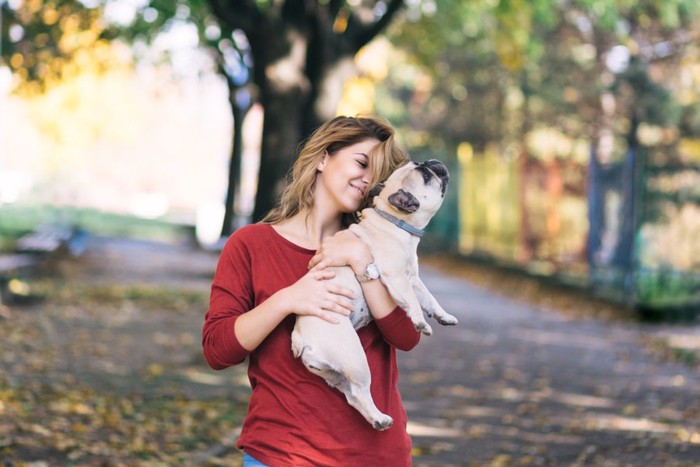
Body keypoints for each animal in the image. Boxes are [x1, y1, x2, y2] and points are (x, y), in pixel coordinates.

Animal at [292, 159, 460, 430]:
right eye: (425, 175)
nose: (431, 162)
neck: (393, 221)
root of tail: (298, 336)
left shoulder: (413, 278)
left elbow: (429, 298)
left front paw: (444, 316)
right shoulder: (397, 278)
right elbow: (413, 302)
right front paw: (421, 323)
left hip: (334, 373)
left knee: (352, 396)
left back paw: (376, 418)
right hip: (355, 359)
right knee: (360, 390)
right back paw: (381, 418)